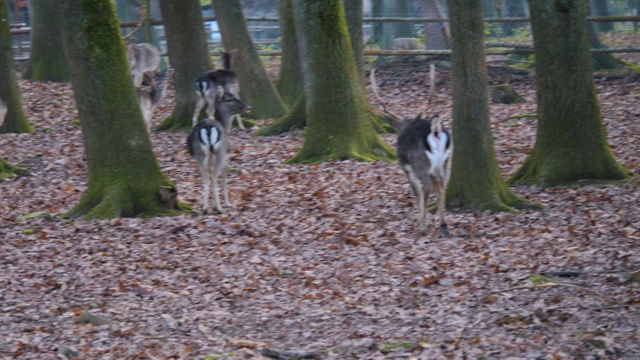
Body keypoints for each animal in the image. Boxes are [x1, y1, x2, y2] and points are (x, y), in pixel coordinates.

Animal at [186, 86, 249, 214]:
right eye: (229, 99)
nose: (246, 107)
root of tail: (208, 128)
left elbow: (209, 176)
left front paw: (213, 203)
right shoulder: (227, 156)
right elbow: (224, 178)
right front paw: (227, 203)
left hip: (199, 155)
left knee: (206, 177)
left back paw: (205, 208)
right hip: (220, 152)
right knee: (215, 176)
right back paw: (219, 208)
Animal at [368, 65, 452, 236]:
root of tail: (435, 129)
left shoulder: (408, 169)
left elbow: (418, 195)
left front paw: (422, 224)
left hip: (422, 164)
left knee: (428, 189)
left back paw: (428, 228)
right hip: (447, 163)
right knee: (443, 188)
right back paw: (444, 225)